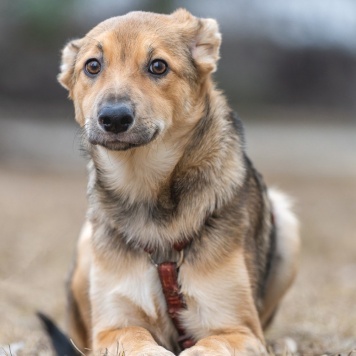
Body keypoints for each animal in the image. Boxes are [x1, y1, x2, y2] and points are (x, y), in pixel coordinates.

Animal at [55, 9, 300, 356]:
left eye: (158, 66)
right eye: (92, 66)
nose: (114, 118)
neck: (145, 188)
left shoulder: (241, 331)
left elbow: (206, 346)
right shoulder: (112, 328)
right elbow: (136, 340)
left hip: (286, 223)